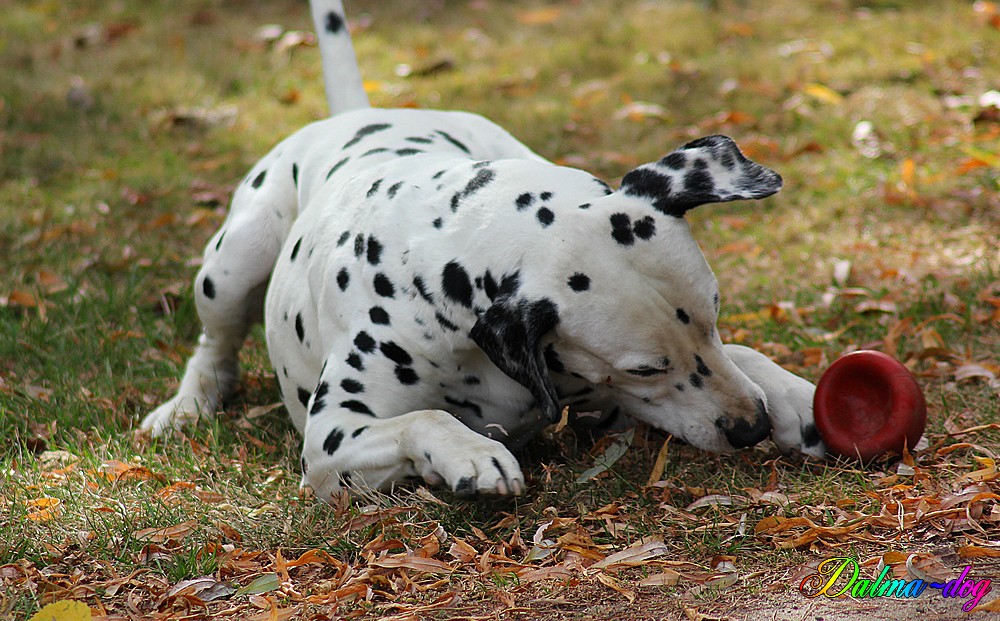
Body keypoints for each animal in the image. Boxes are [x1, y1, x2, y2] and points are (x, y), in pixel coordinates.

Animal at [143, 0, 828, 496]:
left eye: (715, 316)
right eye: (644, 368)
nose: (751, 426)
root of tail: (354, 115)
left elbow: (743, 354)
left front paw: (792, 392)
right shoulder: (333, 440)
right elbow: (423, 418)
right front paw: (469, 452)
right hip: (233, 260)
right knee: (214, 342)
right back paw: (187, 406)